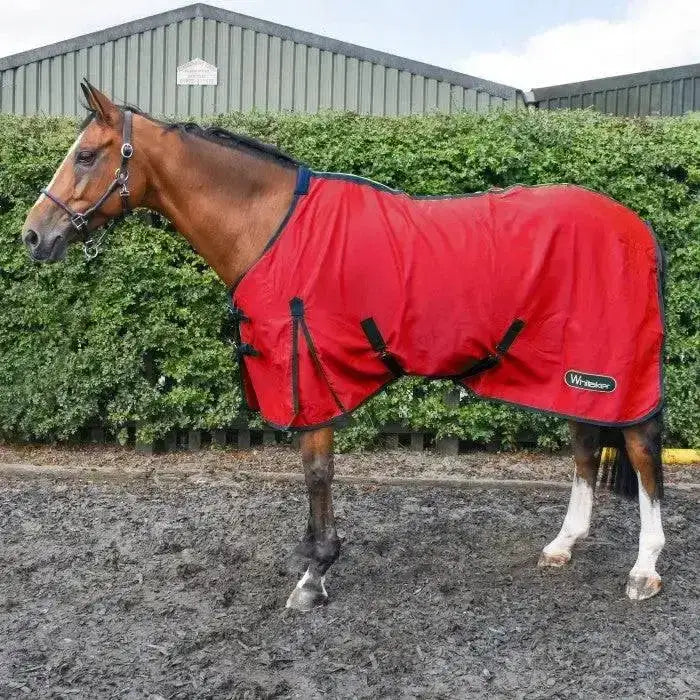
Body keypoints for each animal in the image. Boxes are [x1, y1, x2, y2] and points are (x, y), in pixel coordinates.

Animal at [21, 81, 666, 610]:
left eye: (86, 155)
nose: (32, 236)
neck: (271, 226)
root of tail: (639, 227)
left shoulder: (309, 374)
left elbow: (317, 472)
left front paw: (315, 574)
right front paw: (314, 561)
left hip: (612, 372)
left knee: (641, 452)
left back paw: (644, 569)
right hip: (571, 375)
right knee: (586, 448)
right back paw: (563, 545)